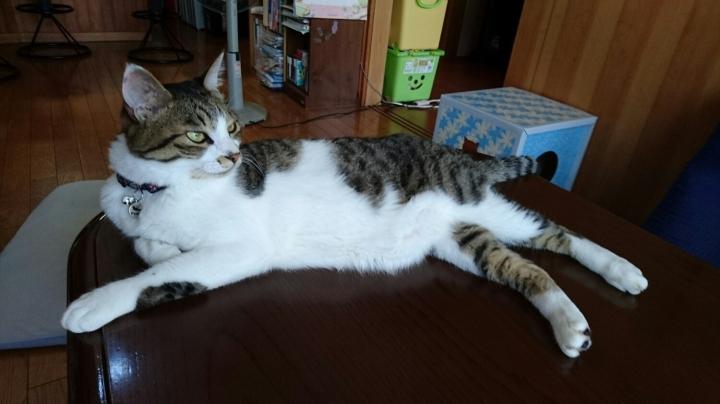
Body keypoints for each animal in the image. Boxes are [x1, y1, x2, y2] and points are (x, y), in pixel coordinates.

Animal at [61, 53, 648, 358]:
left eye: (232, 128)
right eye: (197, 137)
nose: (232, 156)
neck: (156, 189)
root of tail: (448, 151)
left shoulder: (243, 248)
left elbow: (152, 278)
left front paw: (96, 302)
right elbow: (147, 246)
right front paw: (160, 246)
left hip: (479, 203)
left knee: (565, 234)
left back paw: (621, 270)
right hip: (461, 237)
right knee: (530, 267)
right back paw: (572, 322)